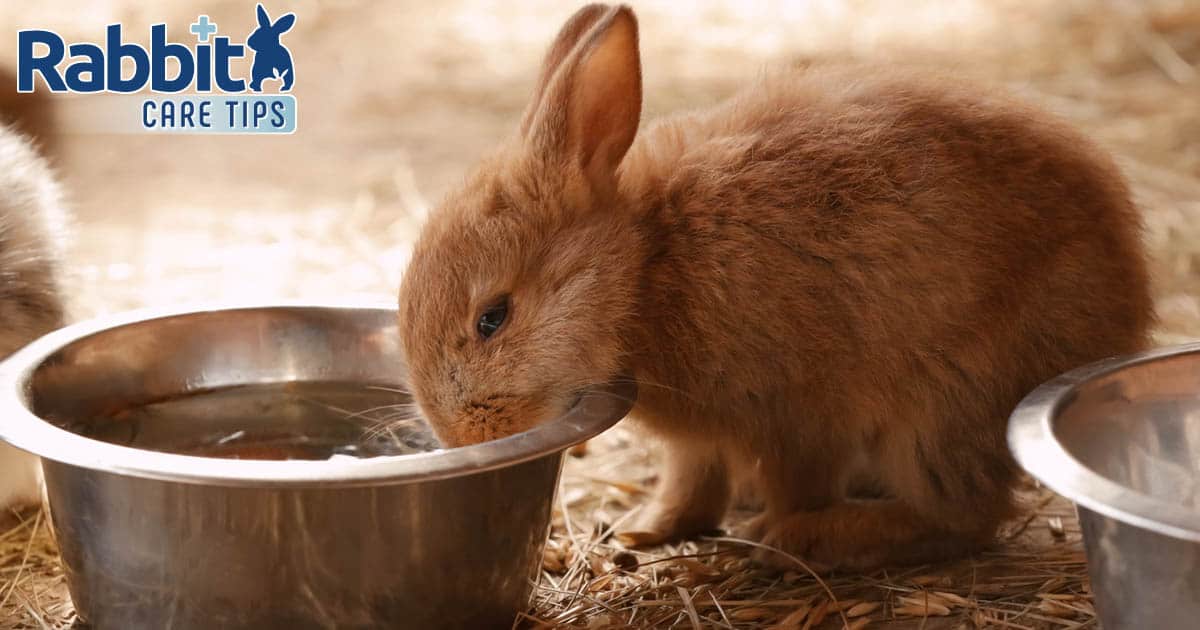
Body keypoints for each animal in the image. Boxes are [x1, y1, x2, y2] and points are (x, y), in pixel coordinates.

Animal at [398, 2, 1156, 568]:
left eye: (493, 317)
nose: (461, 435)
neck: (644, 266)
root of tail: (1126, 311)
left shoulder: (796, 414)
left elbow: (795, 482)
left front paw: (778, 535)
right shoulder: (702, 439)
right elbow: (691, 480)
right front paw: (646, 527)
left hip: (942, 406)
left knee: (964, 515)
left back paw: (820, 538)